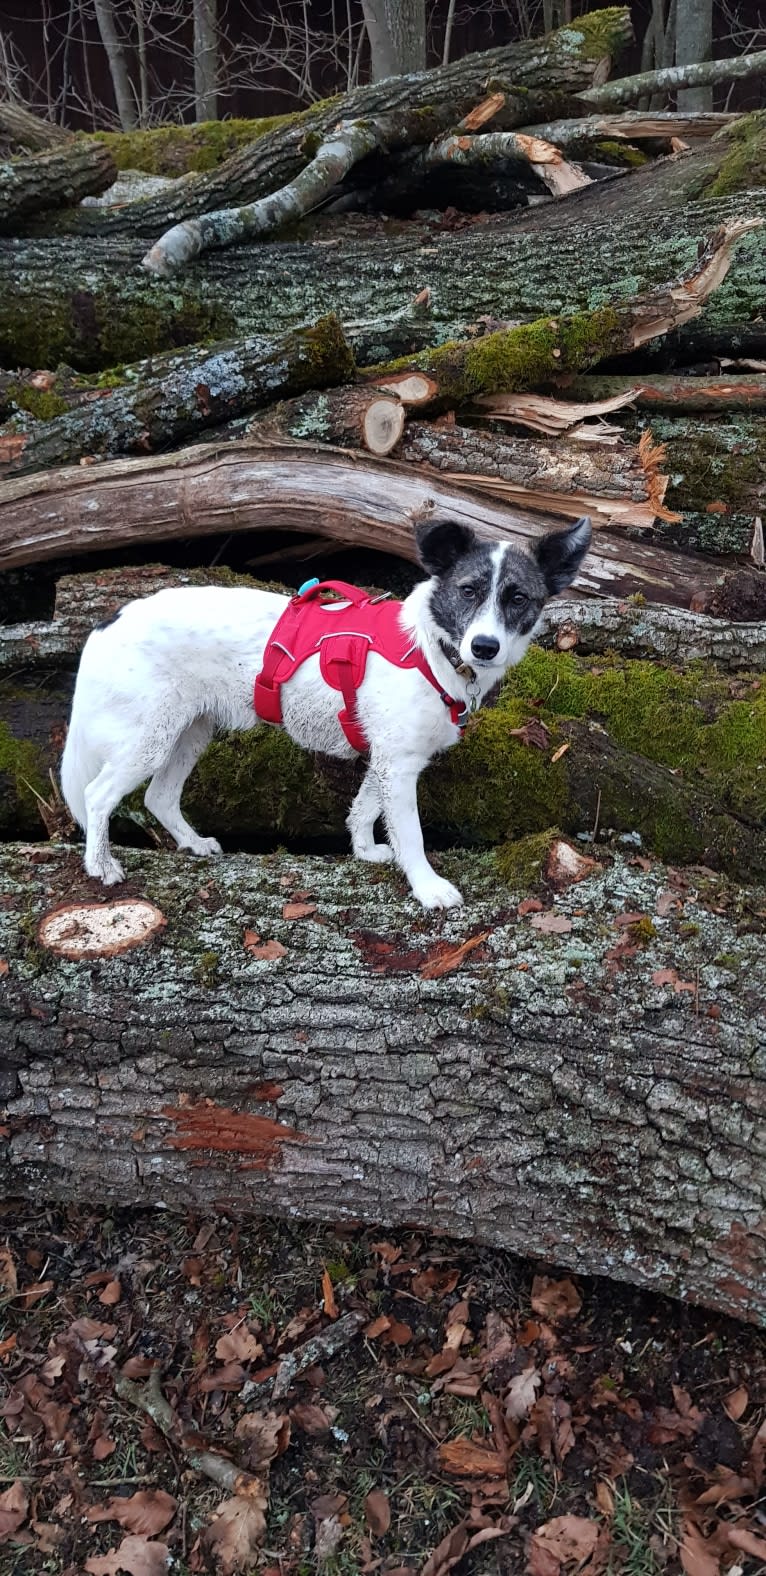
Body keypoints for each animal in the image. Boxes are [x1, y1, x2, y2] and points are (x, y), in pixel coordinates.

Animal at [61, 516, 592, 914]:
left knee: (160, 798)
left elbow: (364, 808)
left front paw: (363, 849)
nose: (484, 646)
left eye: (518, 598)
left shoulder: (386, 758)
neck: (430, 647)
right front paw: (427, 887)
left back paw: (191, 844)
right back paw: (100, 865)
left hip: (189, 732)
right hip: (147, 738)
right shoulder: (399, 765)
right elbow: (412, 835)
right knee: (97, 795)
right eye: (468, 591)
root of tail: (107, 622)